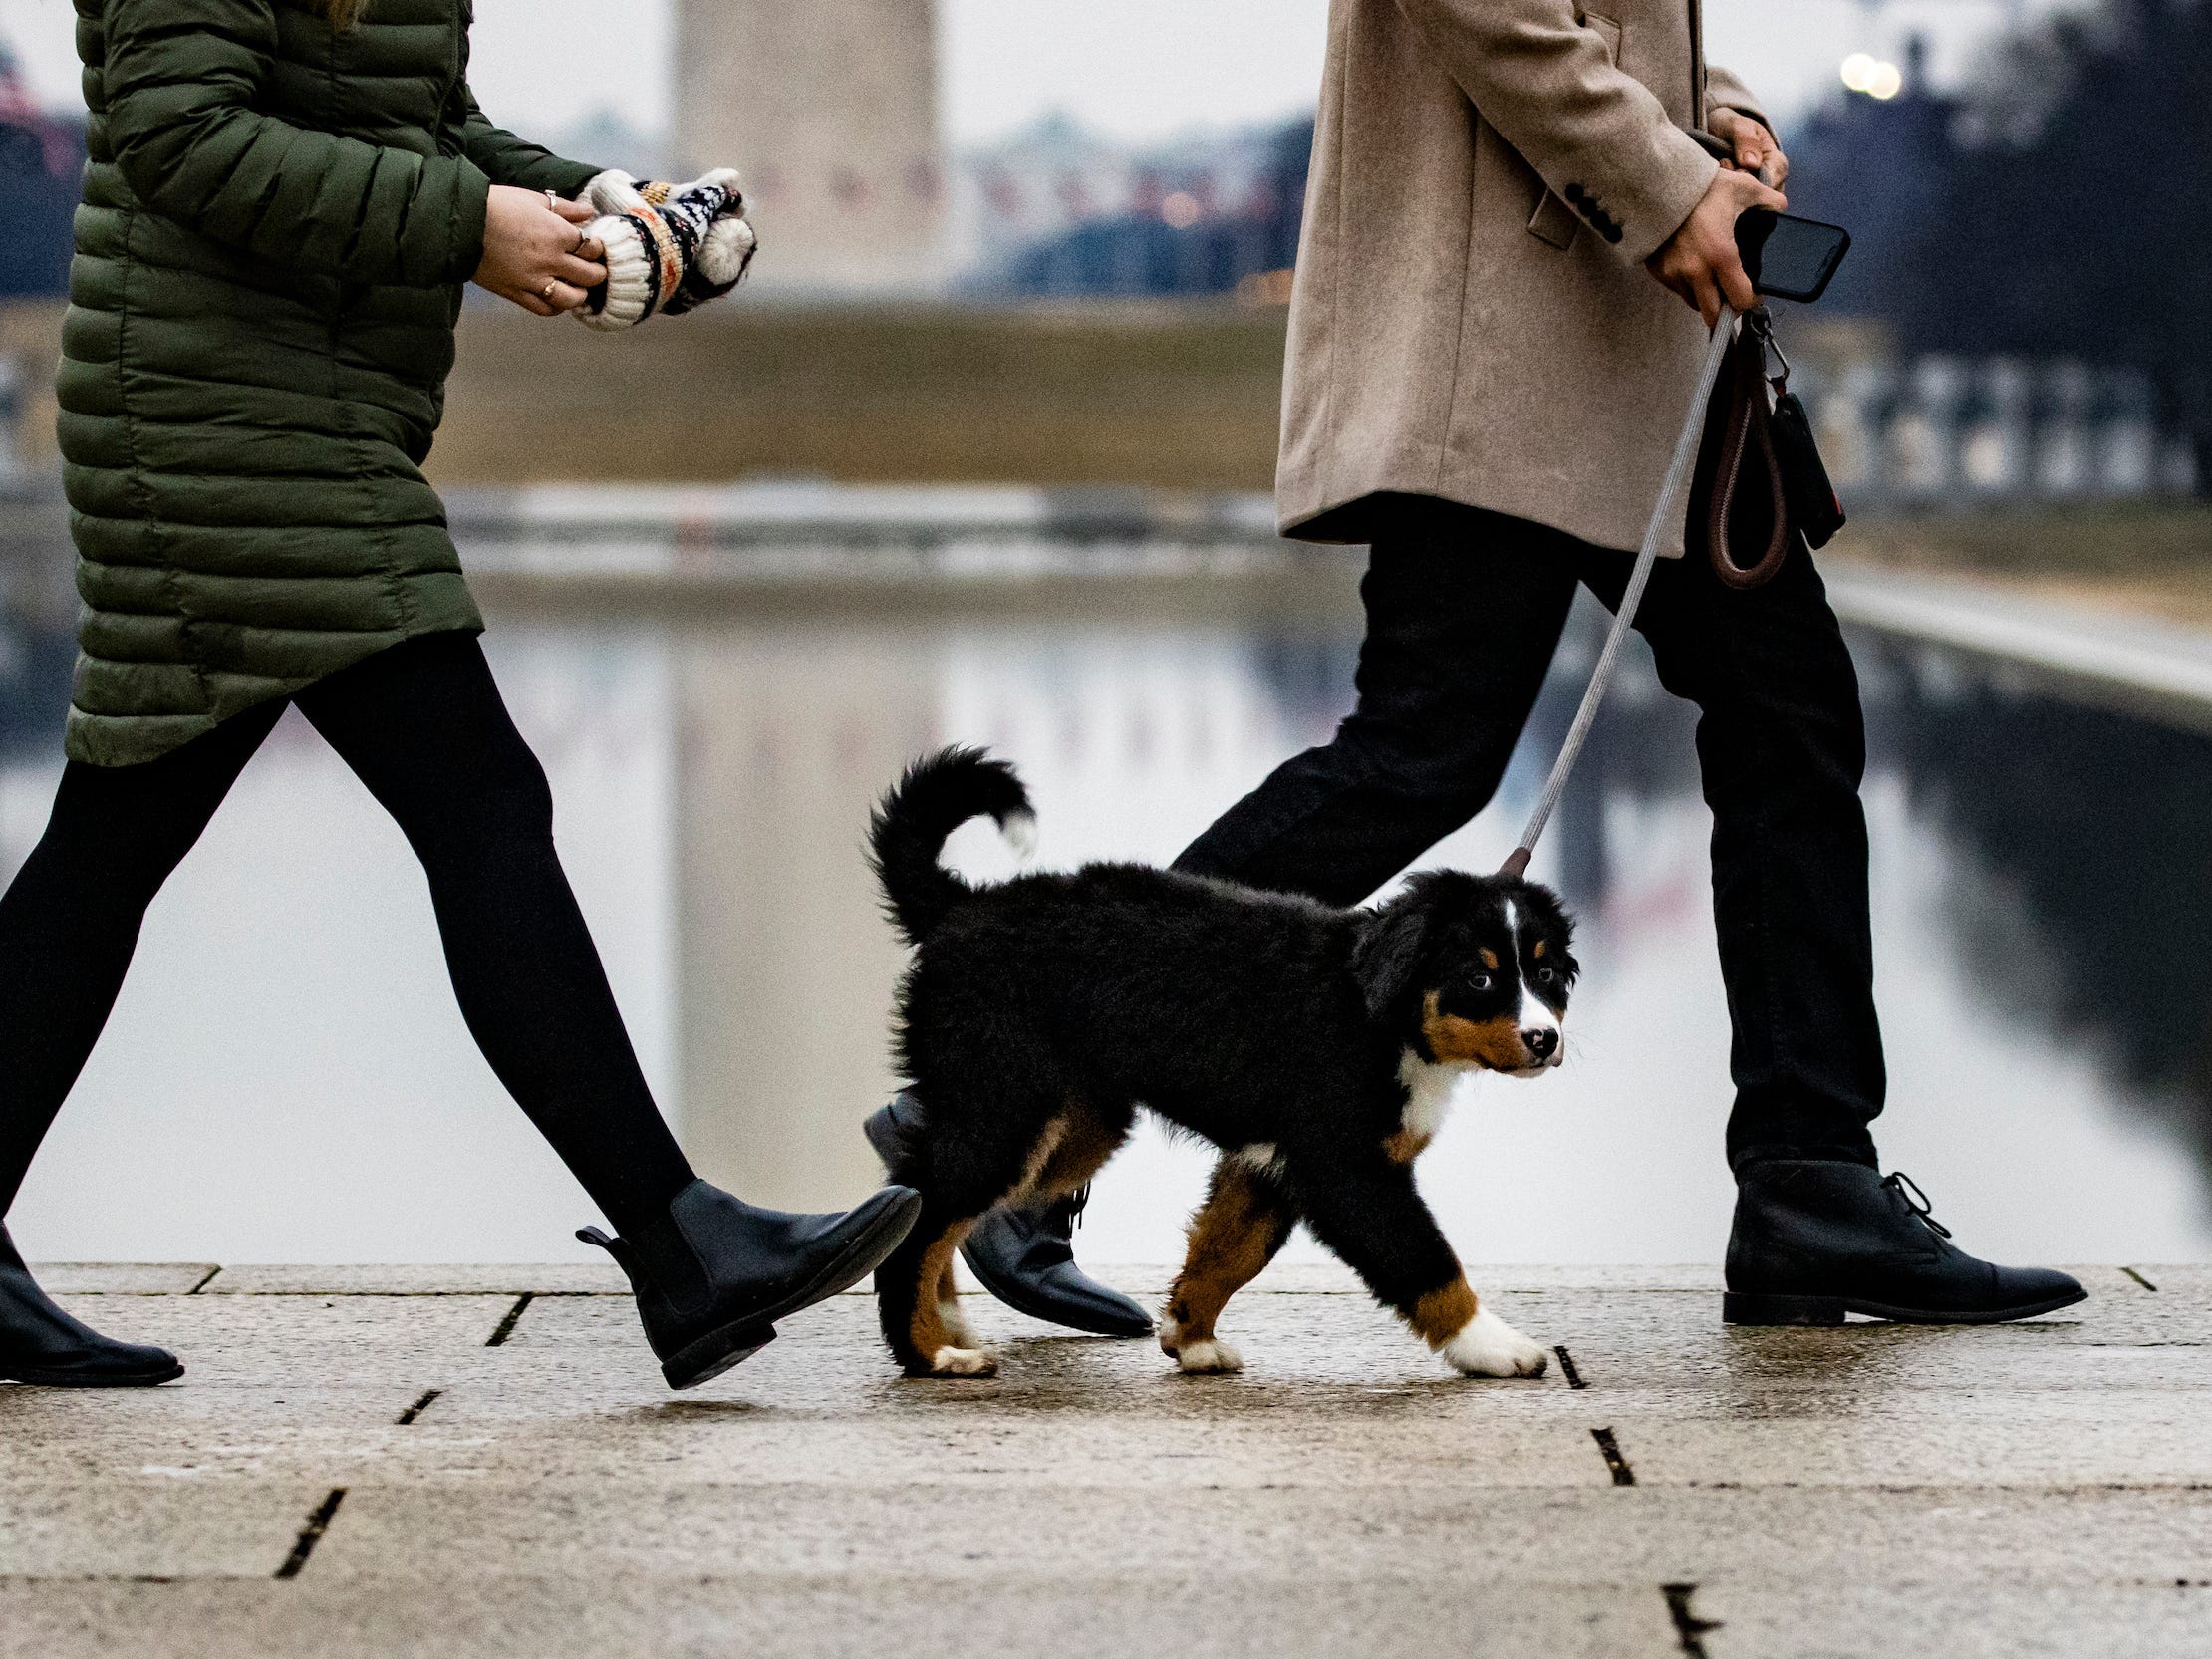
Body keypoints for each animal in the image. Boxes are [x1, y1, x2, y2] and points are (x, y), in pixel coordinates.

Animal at [862, 747, 1574, 1380]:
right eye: (1479, 980)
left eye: (1545, 974)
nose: (1545, 1040)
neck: (1376, 1008)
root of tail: (961, 907)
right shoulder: (1346, 1167)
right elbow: (1426, 1262)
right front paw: (1496, 1347)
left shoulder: (1274, 1162)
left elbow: (1228, 1251)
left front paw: (1190, 1338)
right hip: (1005, 1104)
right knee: (921, 1220)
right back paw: (932, 1354)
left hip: (1077, 1119)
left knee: (927, 1194)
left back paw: (950, 1324)